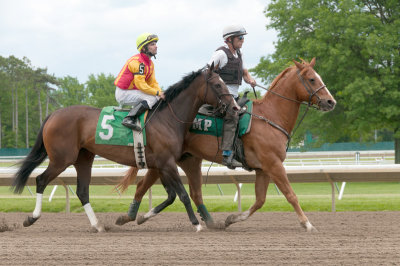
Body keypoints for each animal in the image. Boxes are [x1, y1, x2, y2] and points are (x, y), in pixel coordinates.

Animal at [11, 63, 238, 232]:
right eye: (218, 85)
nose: (235, 107)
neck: (167, 118)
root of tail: (53, 114)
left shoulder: (162, 164)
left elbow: (171, 196)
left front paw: (138, 217)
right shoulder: (167, 163)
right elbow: (182, 194)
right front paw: (197, 225)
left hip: (83, 158)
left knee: (82, 191)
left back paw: (98, 225)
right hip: (61, 159)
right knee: (41, 180)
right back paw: (32, 218)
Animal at [117, 57, 336, 231]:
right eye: (312, 79)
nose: (331, 102)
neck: (270, 116)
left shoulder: (263, 169)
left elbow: (260, 201)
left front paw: (230, 219)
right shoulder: (273, 165)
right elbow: (291, 195)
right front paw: (307, 224)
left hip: (183, 160)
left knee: (189, 192)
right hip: (165, 161)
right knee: (144, 187)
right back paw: (130, 217)